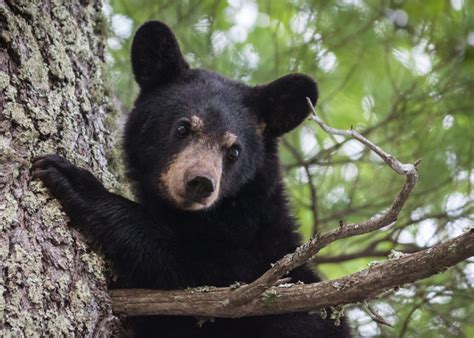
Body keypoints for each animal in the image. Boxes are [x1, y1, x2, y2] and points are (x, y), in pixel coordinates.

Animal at [31, 21, 350, 338]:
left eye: (234, 150)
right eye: (183, 128)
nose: (201, 183)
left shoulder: (251, 264)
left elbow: (188, 267)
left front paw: (76, 182)